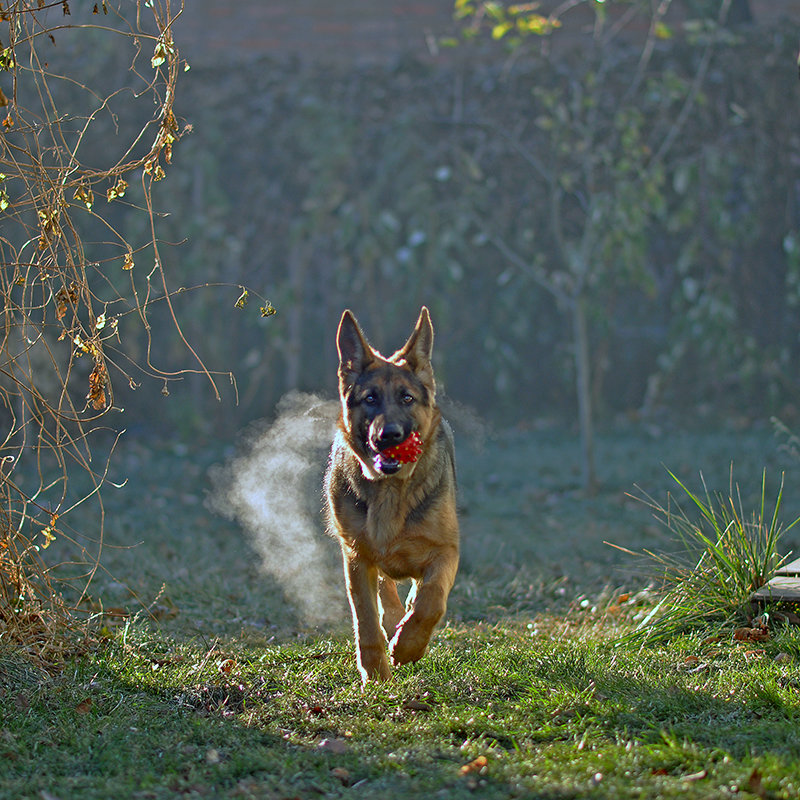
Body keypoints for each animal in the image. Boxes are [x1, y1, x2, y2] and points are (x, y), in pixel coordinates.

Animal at [324, 306, 460, 680]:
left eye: (407, 398)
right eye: (370, 398)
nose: (390, 436)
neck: (391, 491)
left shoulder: (446, 551)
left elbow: (431, 599)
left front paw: (409, 645)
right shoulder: (357, 556)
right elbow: (366, 619)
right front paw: (376, 674)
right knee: (385, 594)